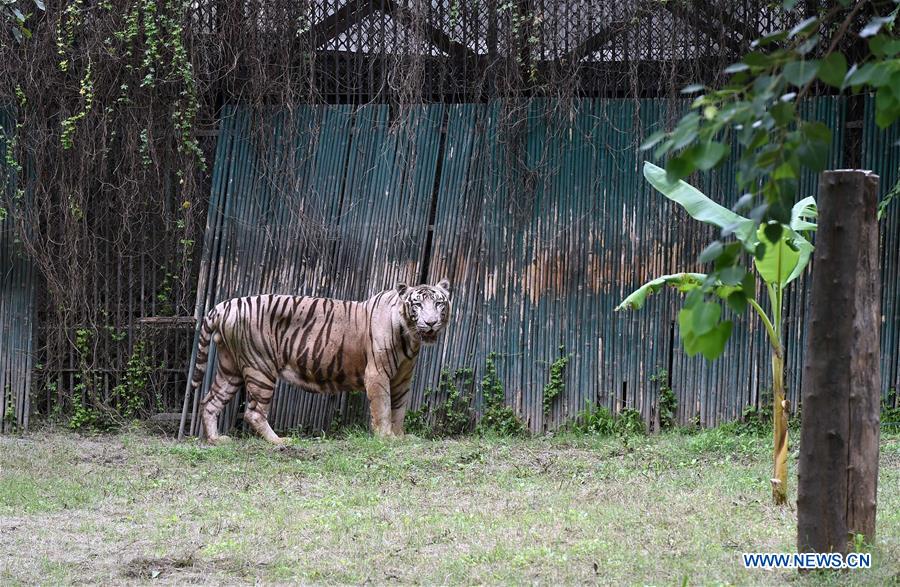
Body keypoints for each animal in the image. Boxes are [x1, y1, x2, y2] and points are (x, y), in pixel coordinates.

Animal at [190, 279, 451, 444]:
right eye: (417, 304)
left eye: (439, 303)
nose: (430, 323)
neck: (410, 336)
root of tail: (223, 305)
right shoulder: (378, 374)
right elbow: (383, 408)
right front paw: (386, 437)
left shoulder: (402, 379)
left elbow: (399, 408)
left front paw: (400, 436)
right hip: (260, 367)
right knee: (253, 412)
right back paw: (278, 441)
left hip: (230, 367)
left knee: (209, 401)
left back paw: (216, 440)